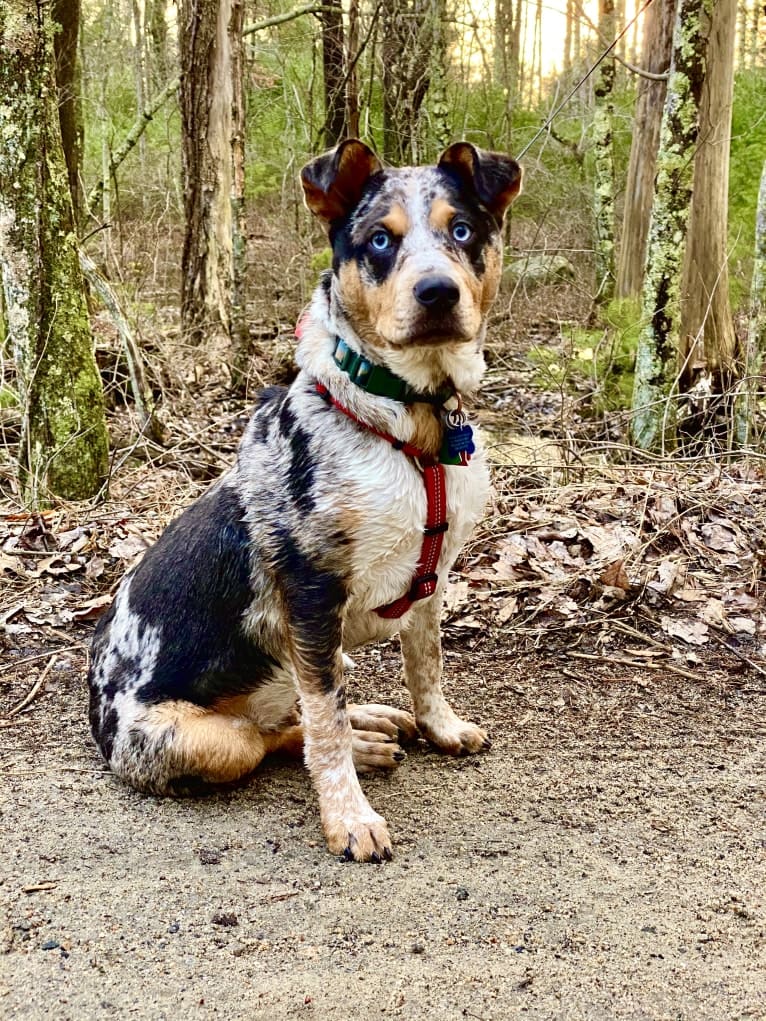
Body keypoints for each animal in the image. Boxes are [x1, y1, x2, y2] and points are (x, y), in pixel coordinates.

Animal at [88, 139, 522, 861]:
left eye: (462, 231)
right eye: (380, 240)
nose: (437, 291)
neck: (414, 422)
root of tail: (95, 714)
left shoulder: (430, 582)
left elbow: (426, 665)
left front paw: (442, 726)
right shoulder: (313, 594)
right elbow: (324, 726)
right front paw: (349, 816)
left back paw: (372, 722)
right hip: (209, 738)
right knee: (273, 735)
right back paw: (362, 740)